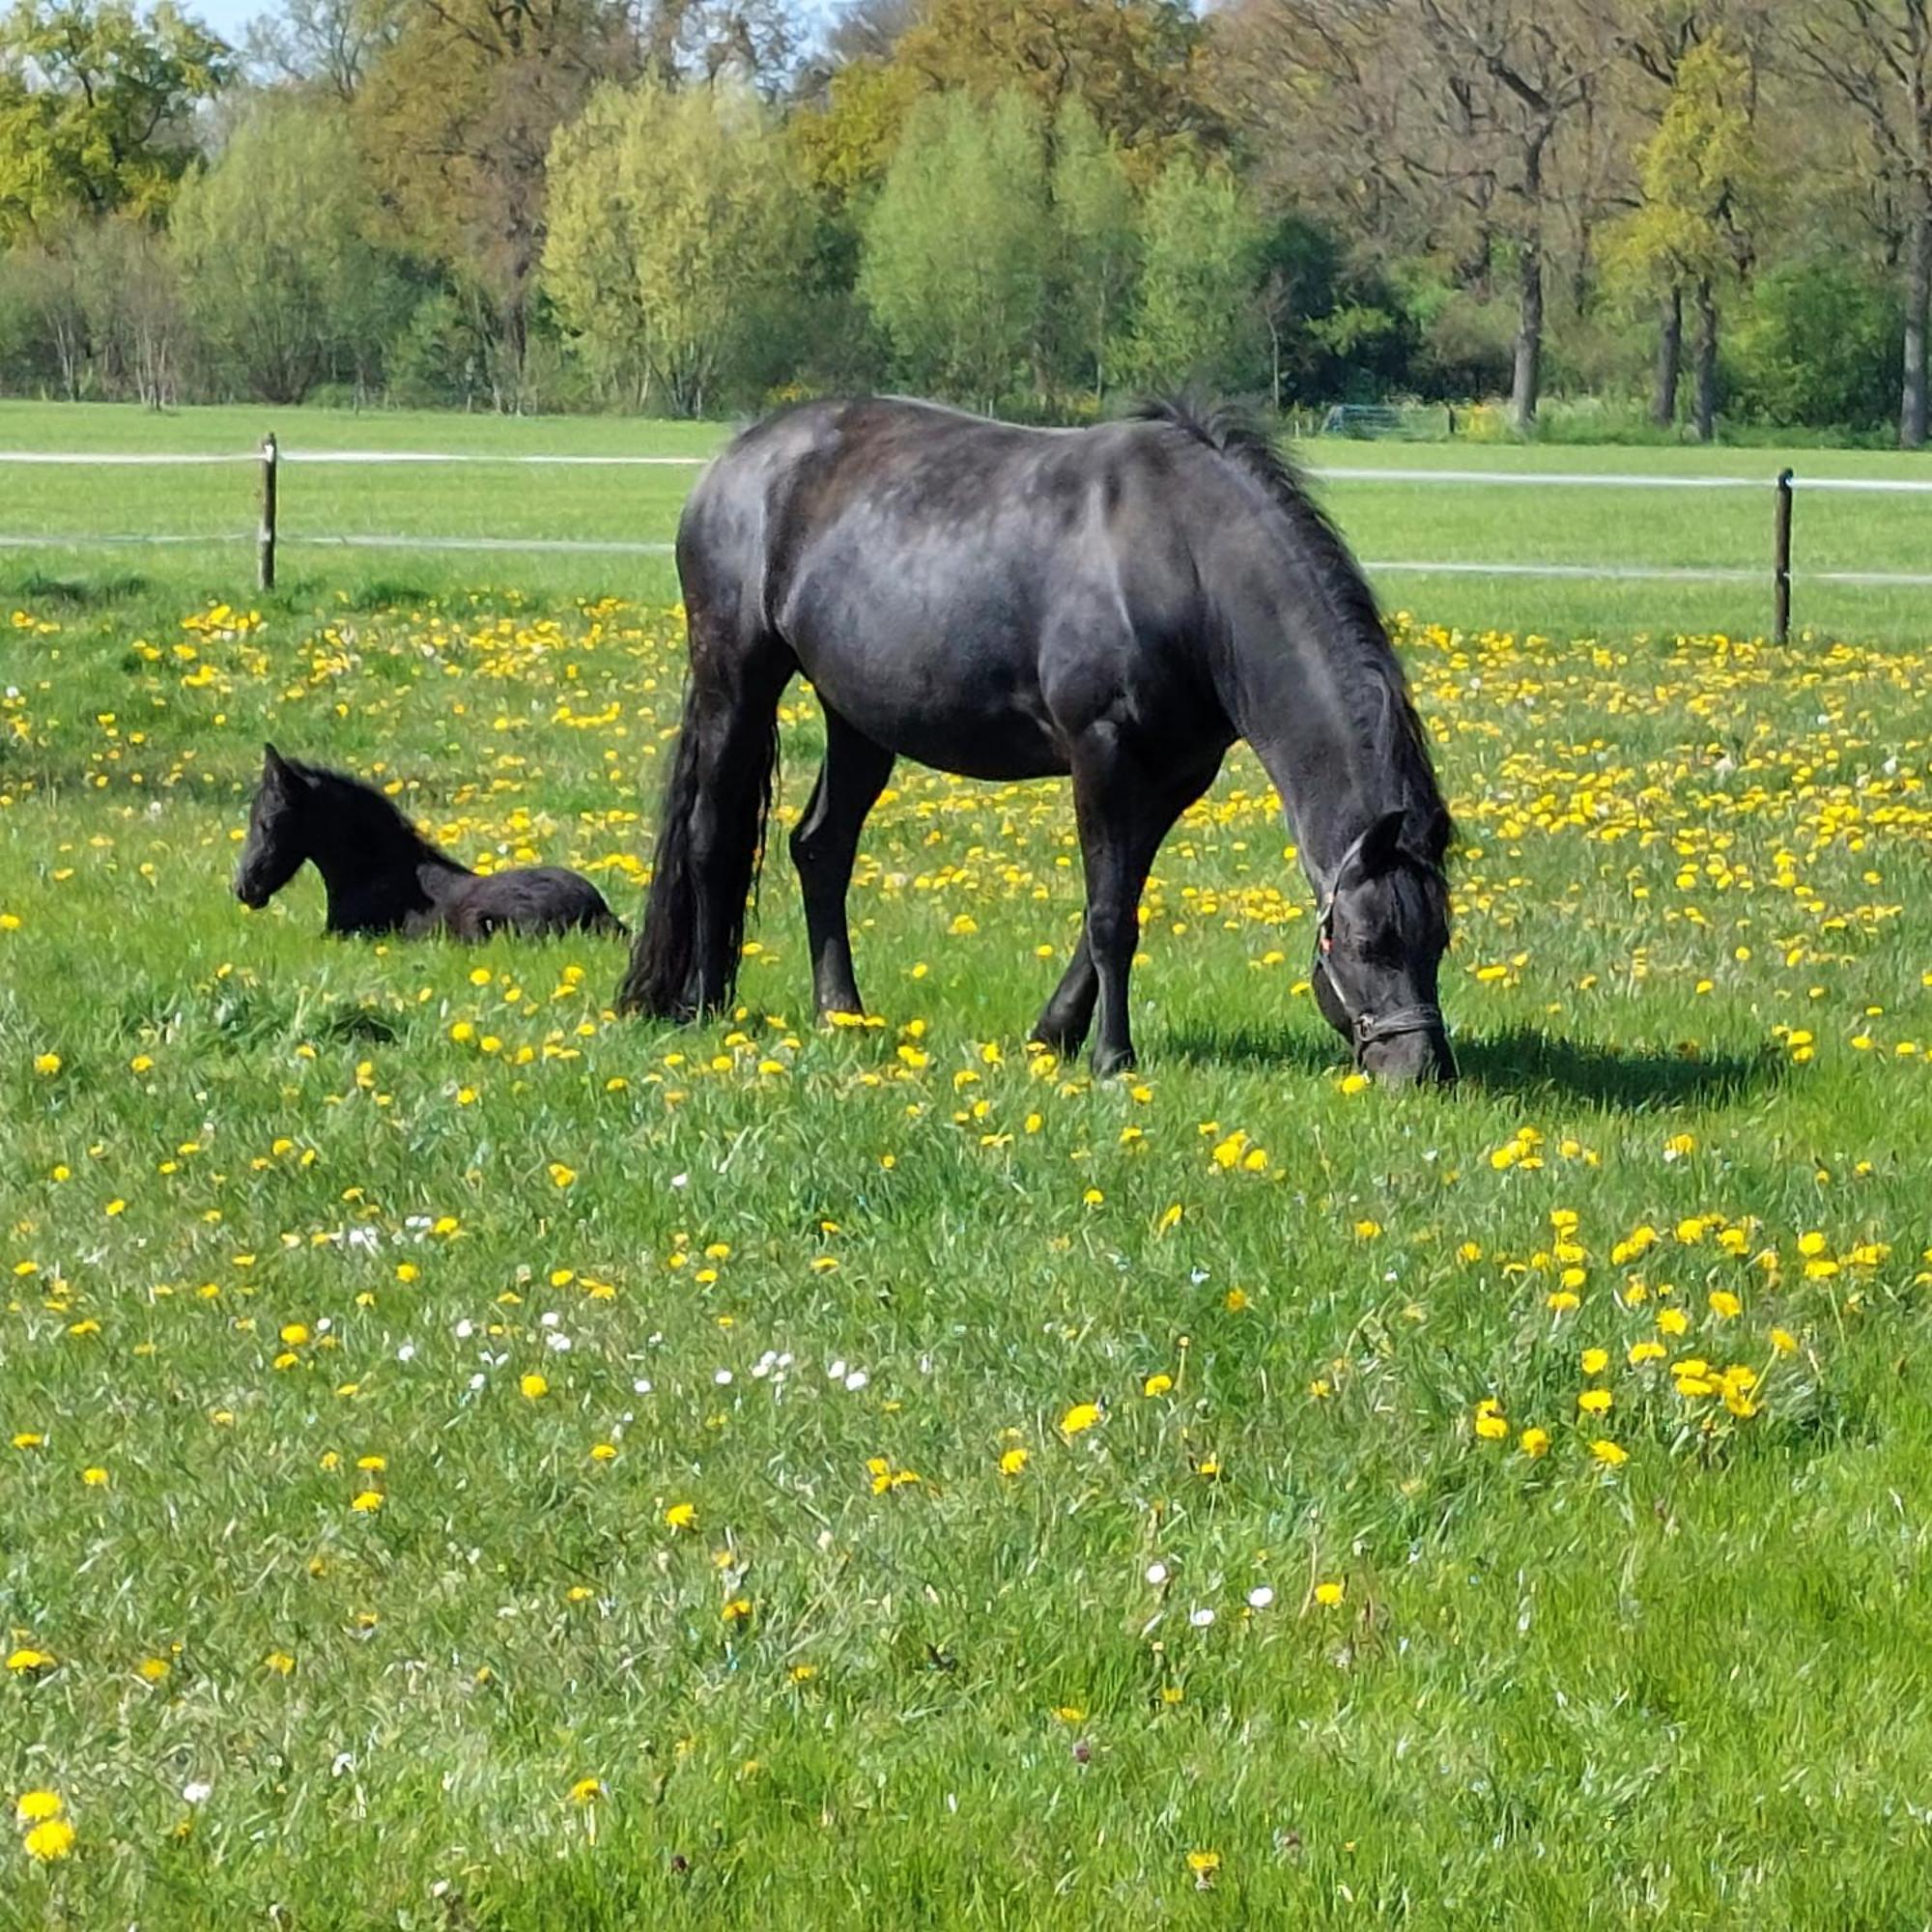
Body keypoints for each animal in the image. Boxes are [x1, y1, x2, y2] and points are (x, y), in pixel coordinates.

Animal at [618, 398, 1453, 1082]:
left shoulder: (1174, 779)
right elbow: (1112, 917)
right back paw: (702, 1004)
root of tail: (737, 458)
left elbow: (1112, 906)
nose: (1422, 1071)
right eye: (1366, 943)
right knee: (711, 836)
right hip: (736, 679)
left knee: (821, 847)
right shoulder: (1101, 755)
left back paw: (843, 1013)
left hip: (857, 717)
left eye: (1438, 942)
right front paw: (1112, 1057)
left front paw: (1053, 1035)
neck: (1185, 564)